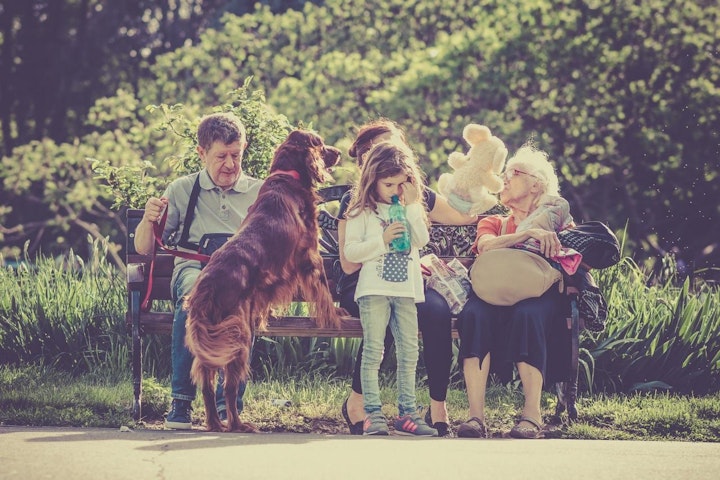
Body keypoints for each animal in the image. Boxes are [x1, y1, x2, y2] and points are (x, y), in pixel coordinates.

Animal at [184, 129, 344, 434]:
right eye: (319, 143)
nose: (339, 151)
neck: (287, 176)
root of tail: (206, 288)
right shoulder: (309, 254)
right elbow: (323, 290)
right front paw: (335, 316)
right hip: (238, 336)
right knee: (229, 387)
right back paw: (238, 424)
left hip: (215, 340)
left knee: (208, 384)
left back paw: (215, 423)